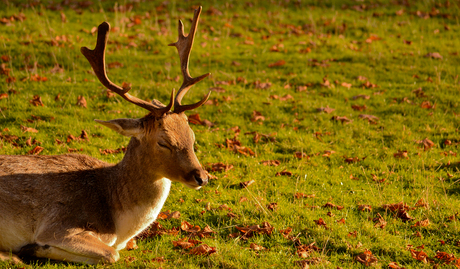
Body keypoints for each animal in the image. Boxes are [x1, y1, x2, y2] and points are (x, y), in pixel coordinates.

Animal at [0, 6, 210, 264]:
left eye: (192, 137)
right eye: (164, 142)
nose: (202, 177)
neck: (119, 225)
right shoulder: (58, 224)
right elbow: (111, 254)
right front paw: (32, 248)